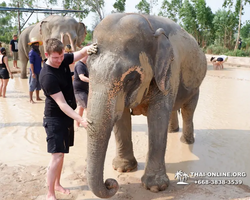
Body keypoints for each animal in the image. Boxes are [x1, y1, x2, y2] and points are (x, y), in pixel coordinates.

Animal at [86, 13, 207, 199]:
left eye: (130, 78)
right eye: (87, 70)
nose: (111, 182)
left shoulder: (170, 69)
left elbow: (158, 115)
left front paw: (155, 187)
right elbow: (121, 115)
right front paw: (123, 168)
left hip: (195, 85)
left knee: (188, 110)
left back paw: (186, 141)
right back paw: (172, 132)